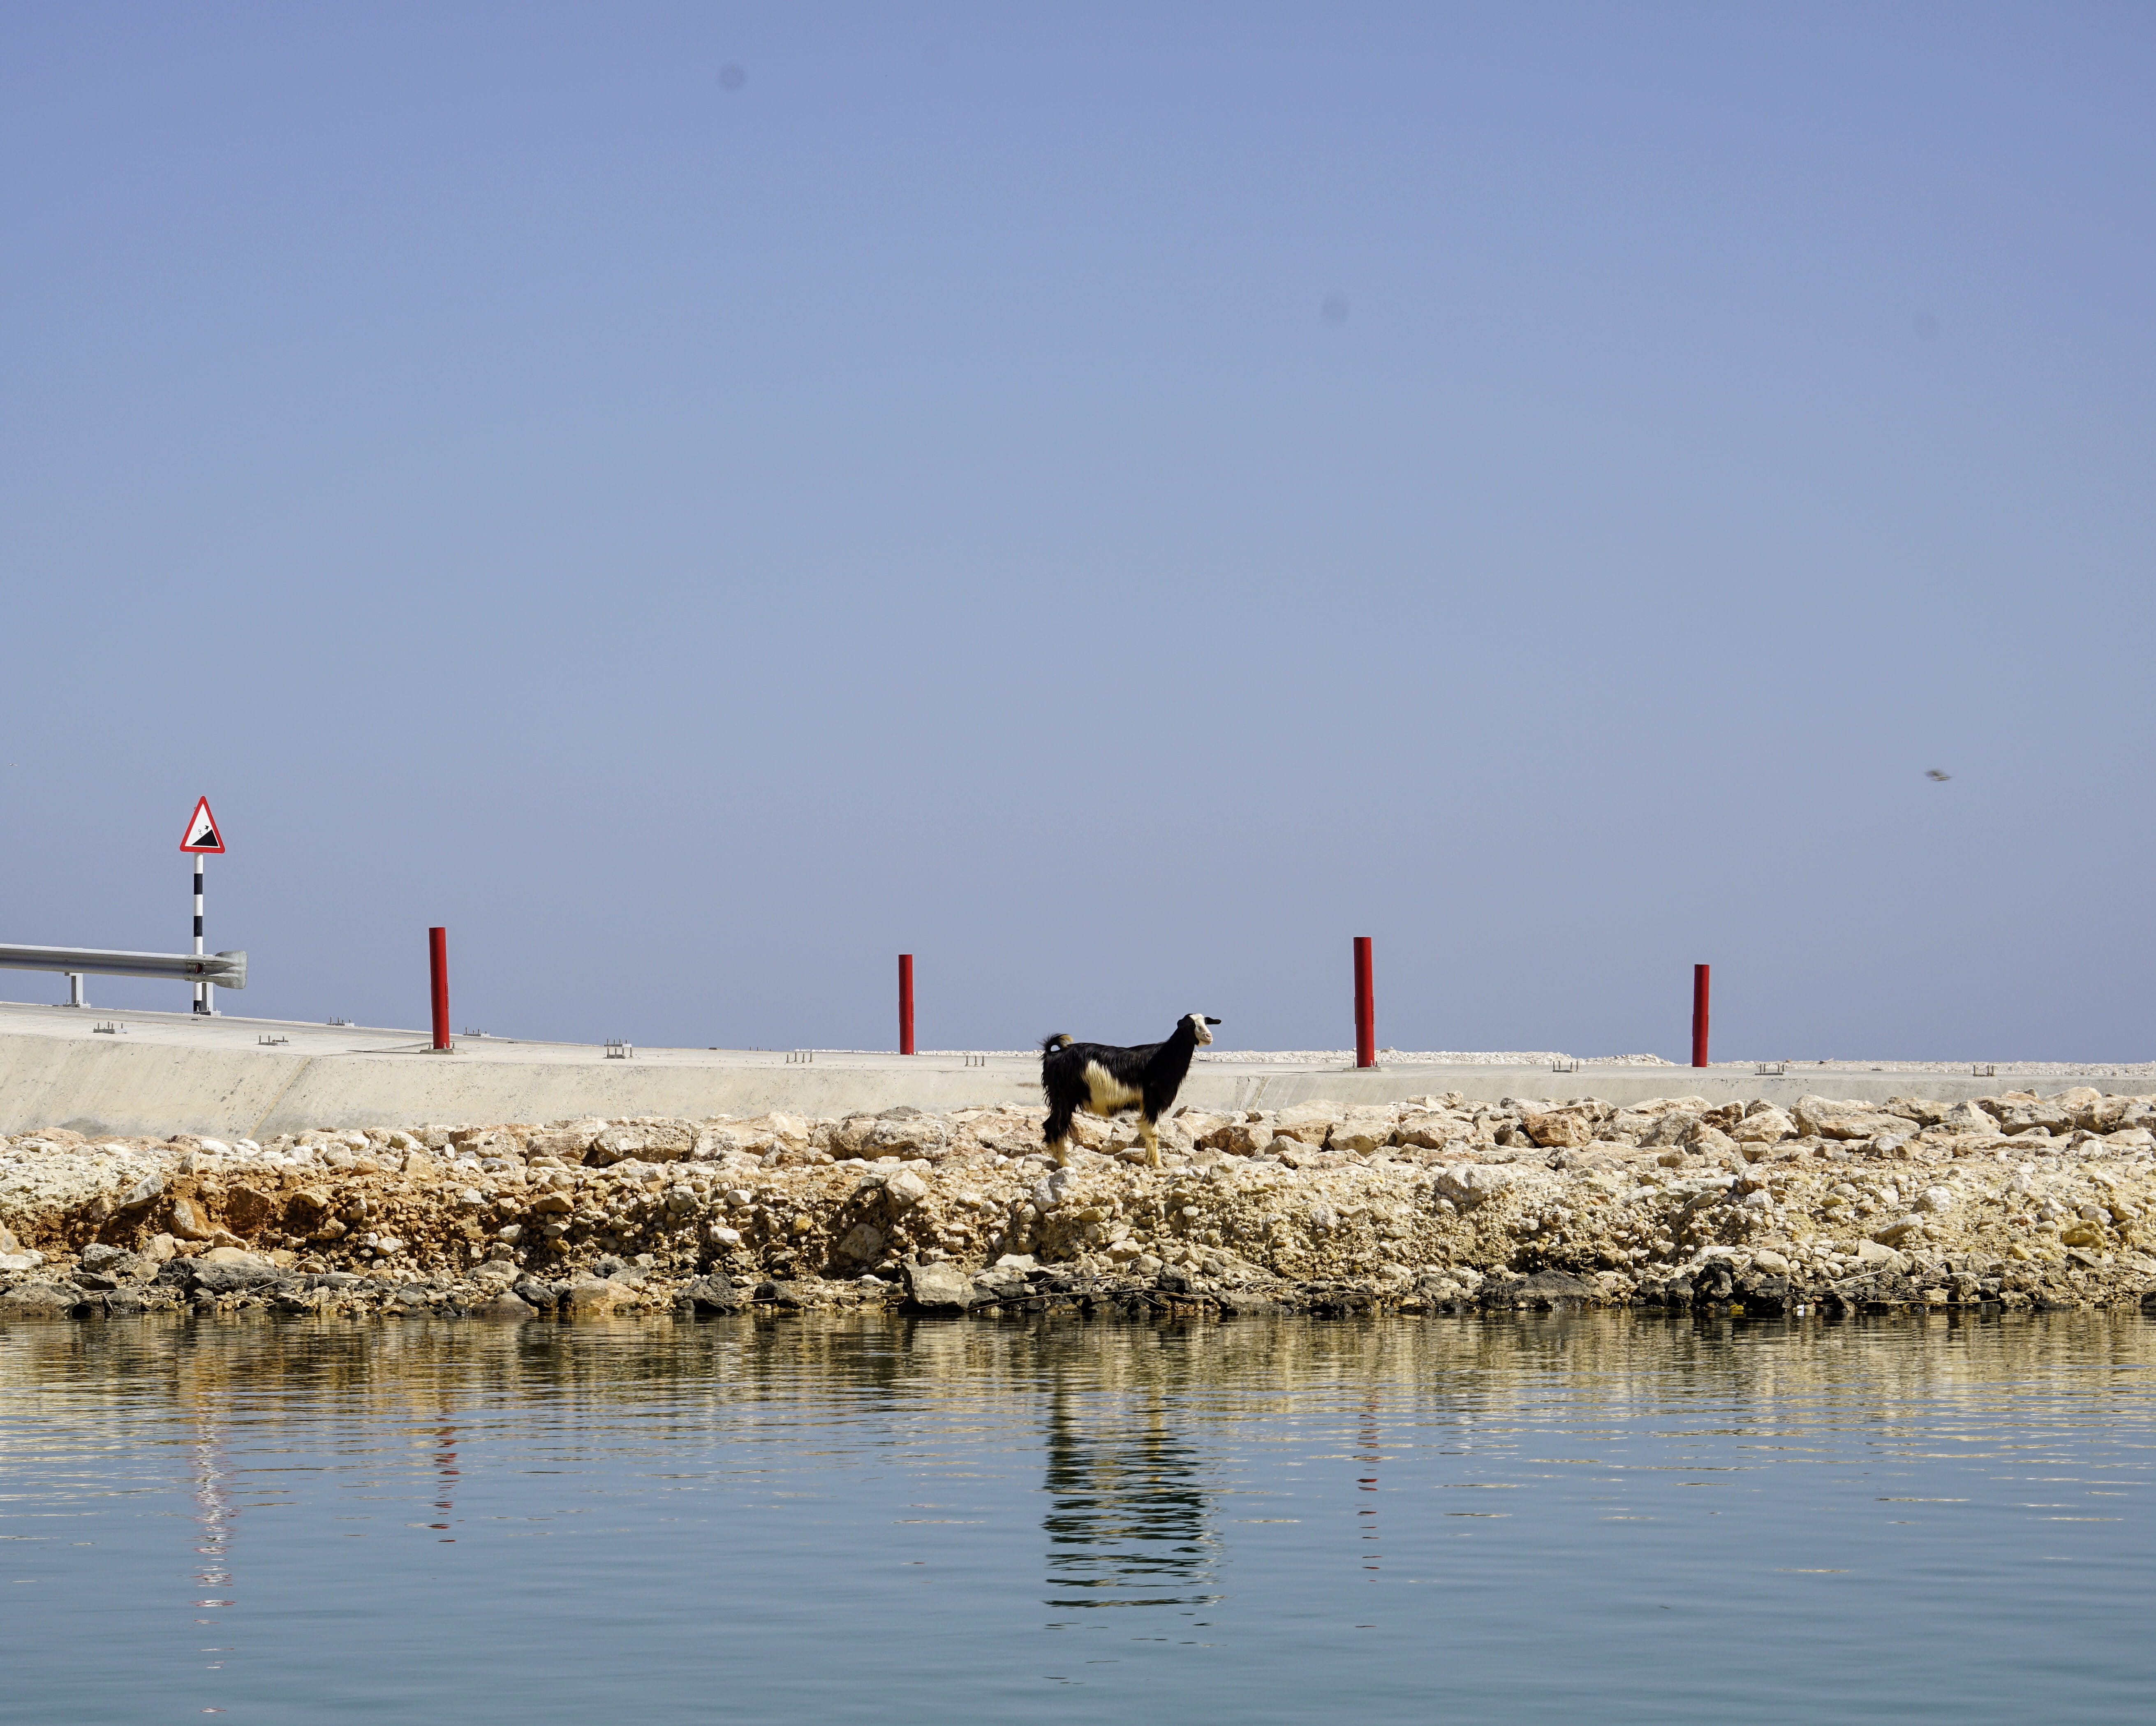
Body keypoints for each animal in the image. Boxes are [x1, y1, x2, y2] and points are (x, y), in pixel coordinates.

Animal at [1039, 1013, 1221, 1168]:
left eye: (1205, 1022)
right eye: (1191, 1025)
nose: (1209, 1037)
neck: (1164, 1058)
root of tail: (1053, 1055)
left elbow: (1147, 1131)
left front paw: (1149, 1161)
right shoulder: (1152, 1100)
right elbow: (1153, 1132)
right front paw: (1157, 1165)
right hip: (1063, 1097)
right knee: (1056, 1126)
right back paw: (1066, 1163)